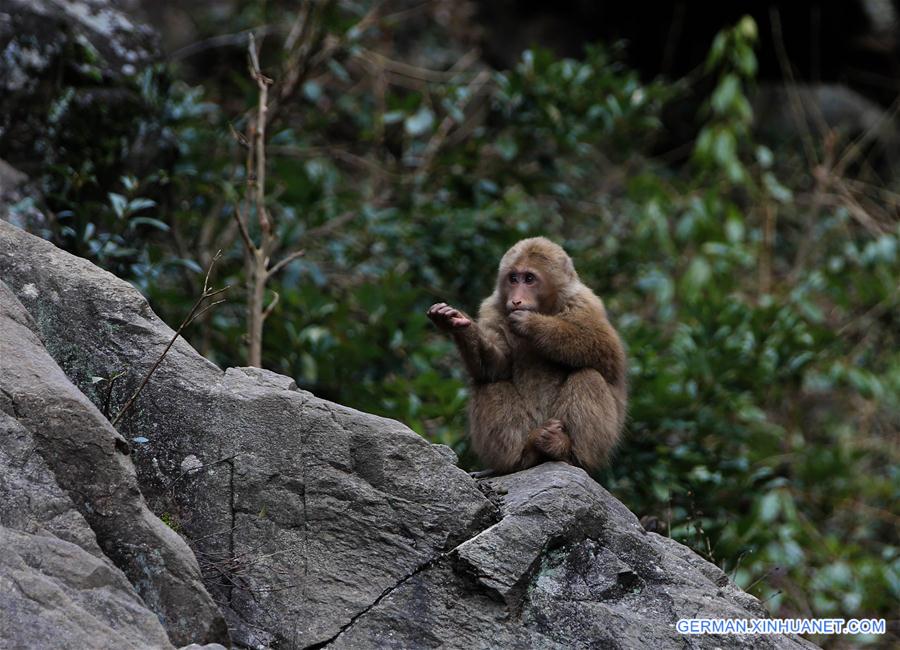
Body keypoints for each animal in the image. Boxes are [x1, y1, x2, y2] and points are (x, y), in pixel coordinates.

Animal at [428, 235, 624, 474]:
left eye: (529, 279)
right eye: (513, 278)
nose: (516, 300)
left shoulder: (585, 303)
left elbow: (609, 356)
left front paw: (532, 324)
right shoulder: (492, 308)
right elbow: (497, 367)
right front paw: (457, 323)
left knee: (589, 375)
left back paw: (565, 451)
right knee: (491, 383)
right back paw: (524, 455)